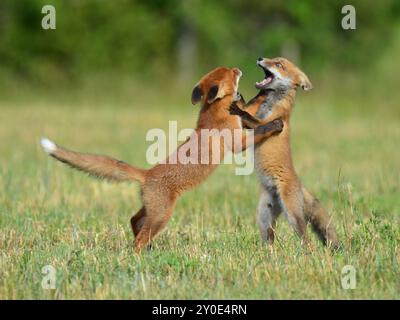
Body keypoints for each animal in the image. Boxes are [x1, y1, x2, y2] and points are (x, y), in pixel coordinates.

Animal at [230, 57, 340, 248]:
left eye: (279, 65)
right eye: (272, 59)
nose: (260, 58)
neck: (271, 103)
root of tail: (300, 184)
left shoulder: (269, 121)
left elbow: (251, 119)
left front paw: (237, 109)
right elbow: (247, 110)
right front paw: (242, 97)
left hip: (293, 216)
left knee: (307, 241)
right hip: (264, 215)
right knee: (269, 237)